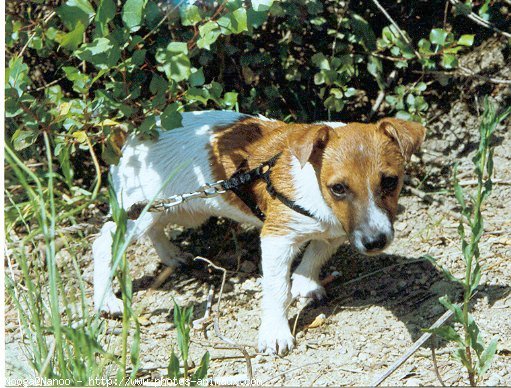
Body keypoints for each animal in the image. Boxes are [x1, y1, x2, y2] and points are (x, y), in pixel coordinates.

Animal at [93, 109, 428, 354]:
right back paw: (106, 300)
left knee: (156, 231)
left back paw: (172, 256)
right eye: (338, 188)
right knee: (105, 242)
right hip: (137, 212)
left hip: (176, 210)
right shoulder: (277, 238)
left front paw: (304, 283)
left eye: (390, 181)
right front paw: (275, 333)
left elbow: (314, 256)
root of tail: (131, 139)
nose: (375, 242)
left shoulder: (335, 231)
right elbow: (277, 289)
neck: (313, 188)